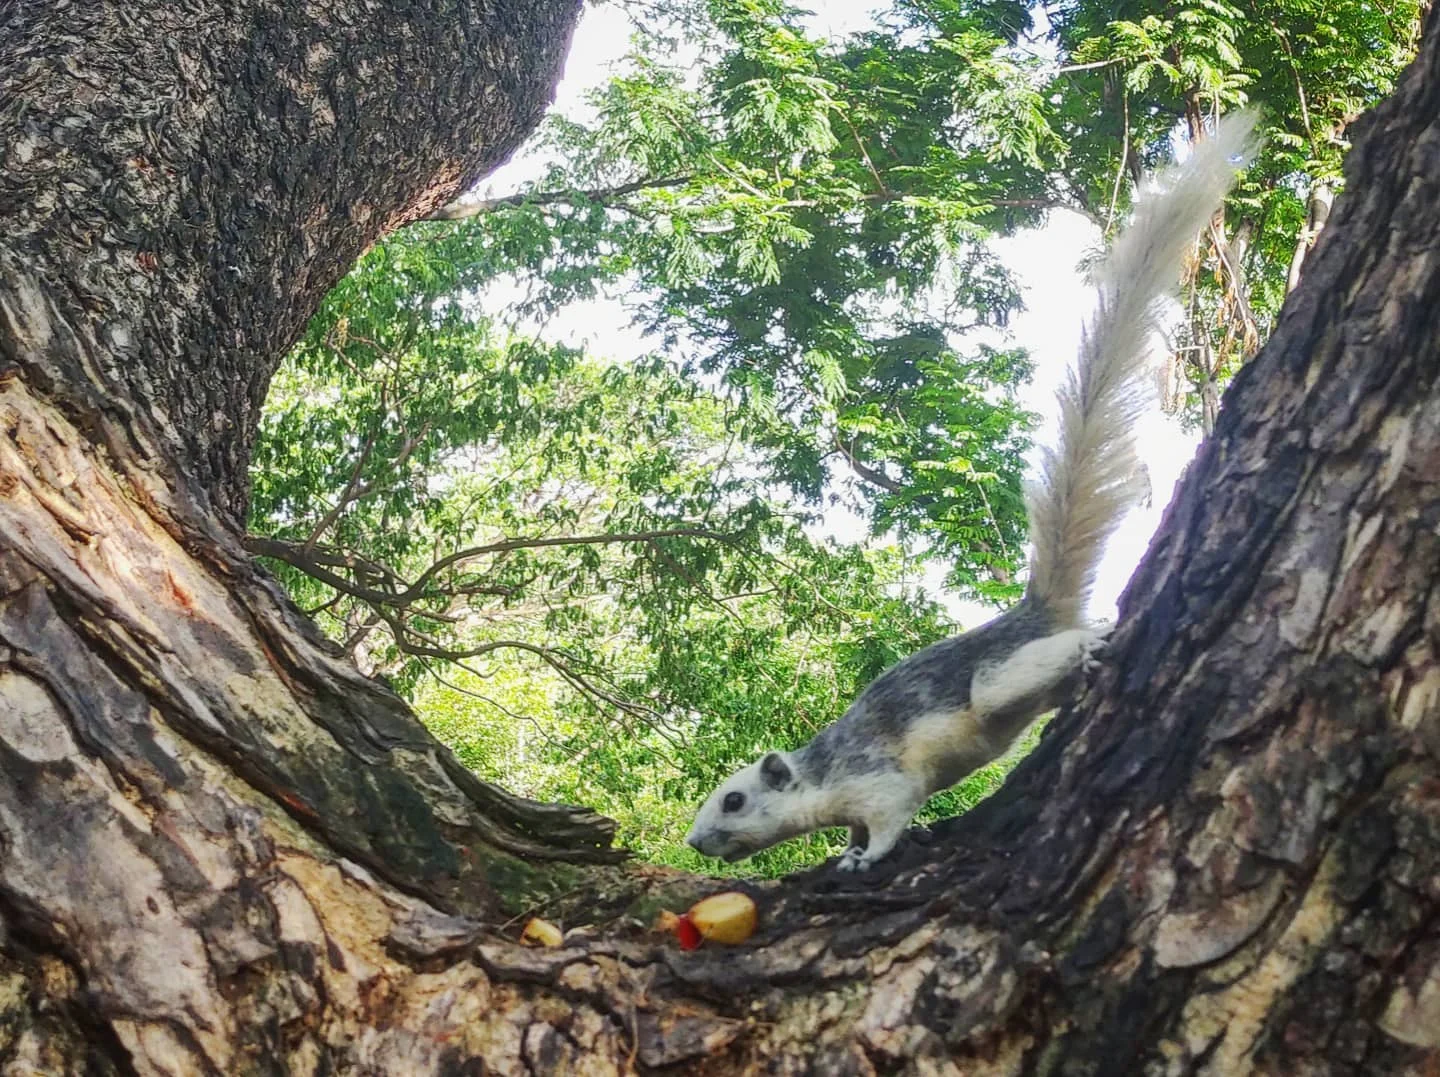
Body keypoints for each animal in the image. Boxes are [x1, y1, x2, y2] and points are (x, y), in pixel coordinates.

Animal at [686, 114, 1256, 872]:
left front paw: (864, 857)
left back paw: (1093, 640)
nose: (696, 841)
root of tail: (1032, 616)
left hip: (996, 682)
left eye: (734, 800)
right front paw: (847, 850)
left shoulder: (881, 783)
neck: (823, 778)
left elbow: (889, 820)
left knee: (1046, 658)